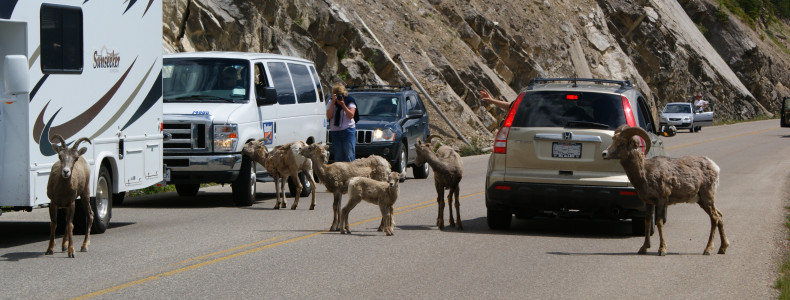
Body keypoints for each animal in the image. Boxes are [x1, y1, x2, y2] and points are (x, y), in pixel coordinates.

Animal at [608, 124, 732, 255]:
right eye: (613, 140)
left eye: (621, 143)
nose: (604, 153)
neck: (644, 172)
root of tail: (715, 167)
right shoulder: (649, 202)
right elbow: (647, 221)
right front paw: (643, 248)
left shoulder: (661, 200)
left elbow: (659, 222)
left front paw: (662, 249)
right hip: (702, 201)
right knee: (719, 216)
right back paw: (722, 248)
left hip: (707, 197)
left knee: (714, 218)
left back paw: (707, 249)